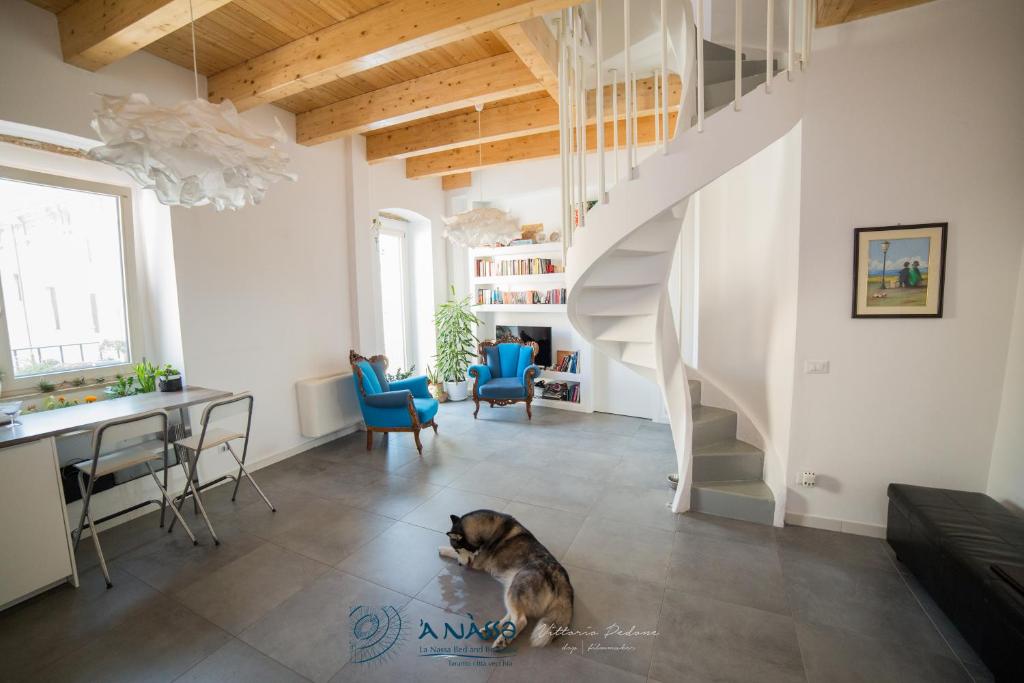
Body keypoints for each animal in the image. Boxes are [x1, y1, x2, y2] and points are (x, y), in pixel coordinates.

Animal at [440, 509, 577, 651]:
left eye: (457, 549)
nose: (460, 565)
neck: (488, 529)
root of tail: (559, 572)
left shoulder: (475, 563)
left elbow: (454, 554)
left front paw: (443, 549)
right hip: (511, 590)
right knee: (512, 616)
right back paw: (490, 630)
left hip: (516, 588)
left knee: (521, 619)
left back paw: (503, 639)